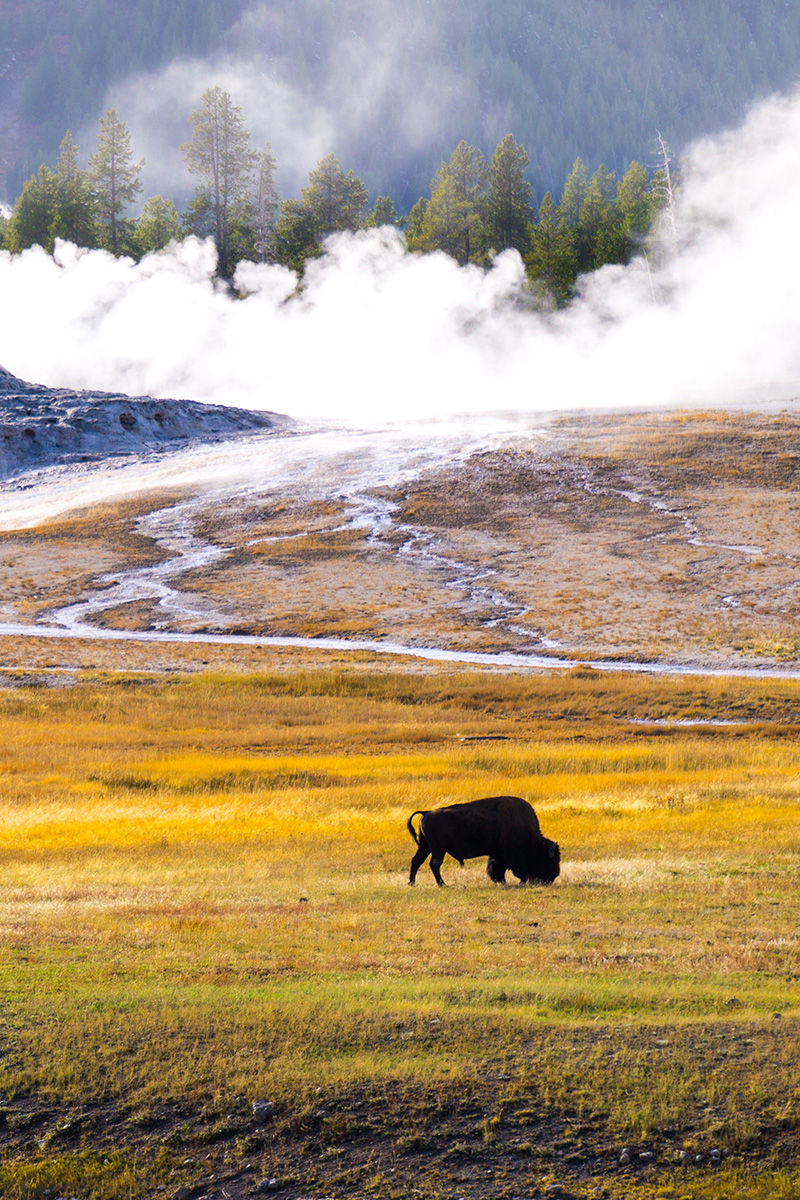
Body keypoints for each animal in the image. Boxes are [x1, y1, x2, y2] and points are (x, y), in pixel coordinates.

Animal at [407, 796, 556, 883]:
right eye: (549, 860)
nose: (553, 876)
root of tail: (426, 812)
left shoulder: (497, 854)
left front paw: (500, 881)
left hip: (425, 847)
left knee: (416, 861)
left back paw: (412, 883)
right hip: (438, 849)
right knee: (434, 864)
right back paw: (442, 884)